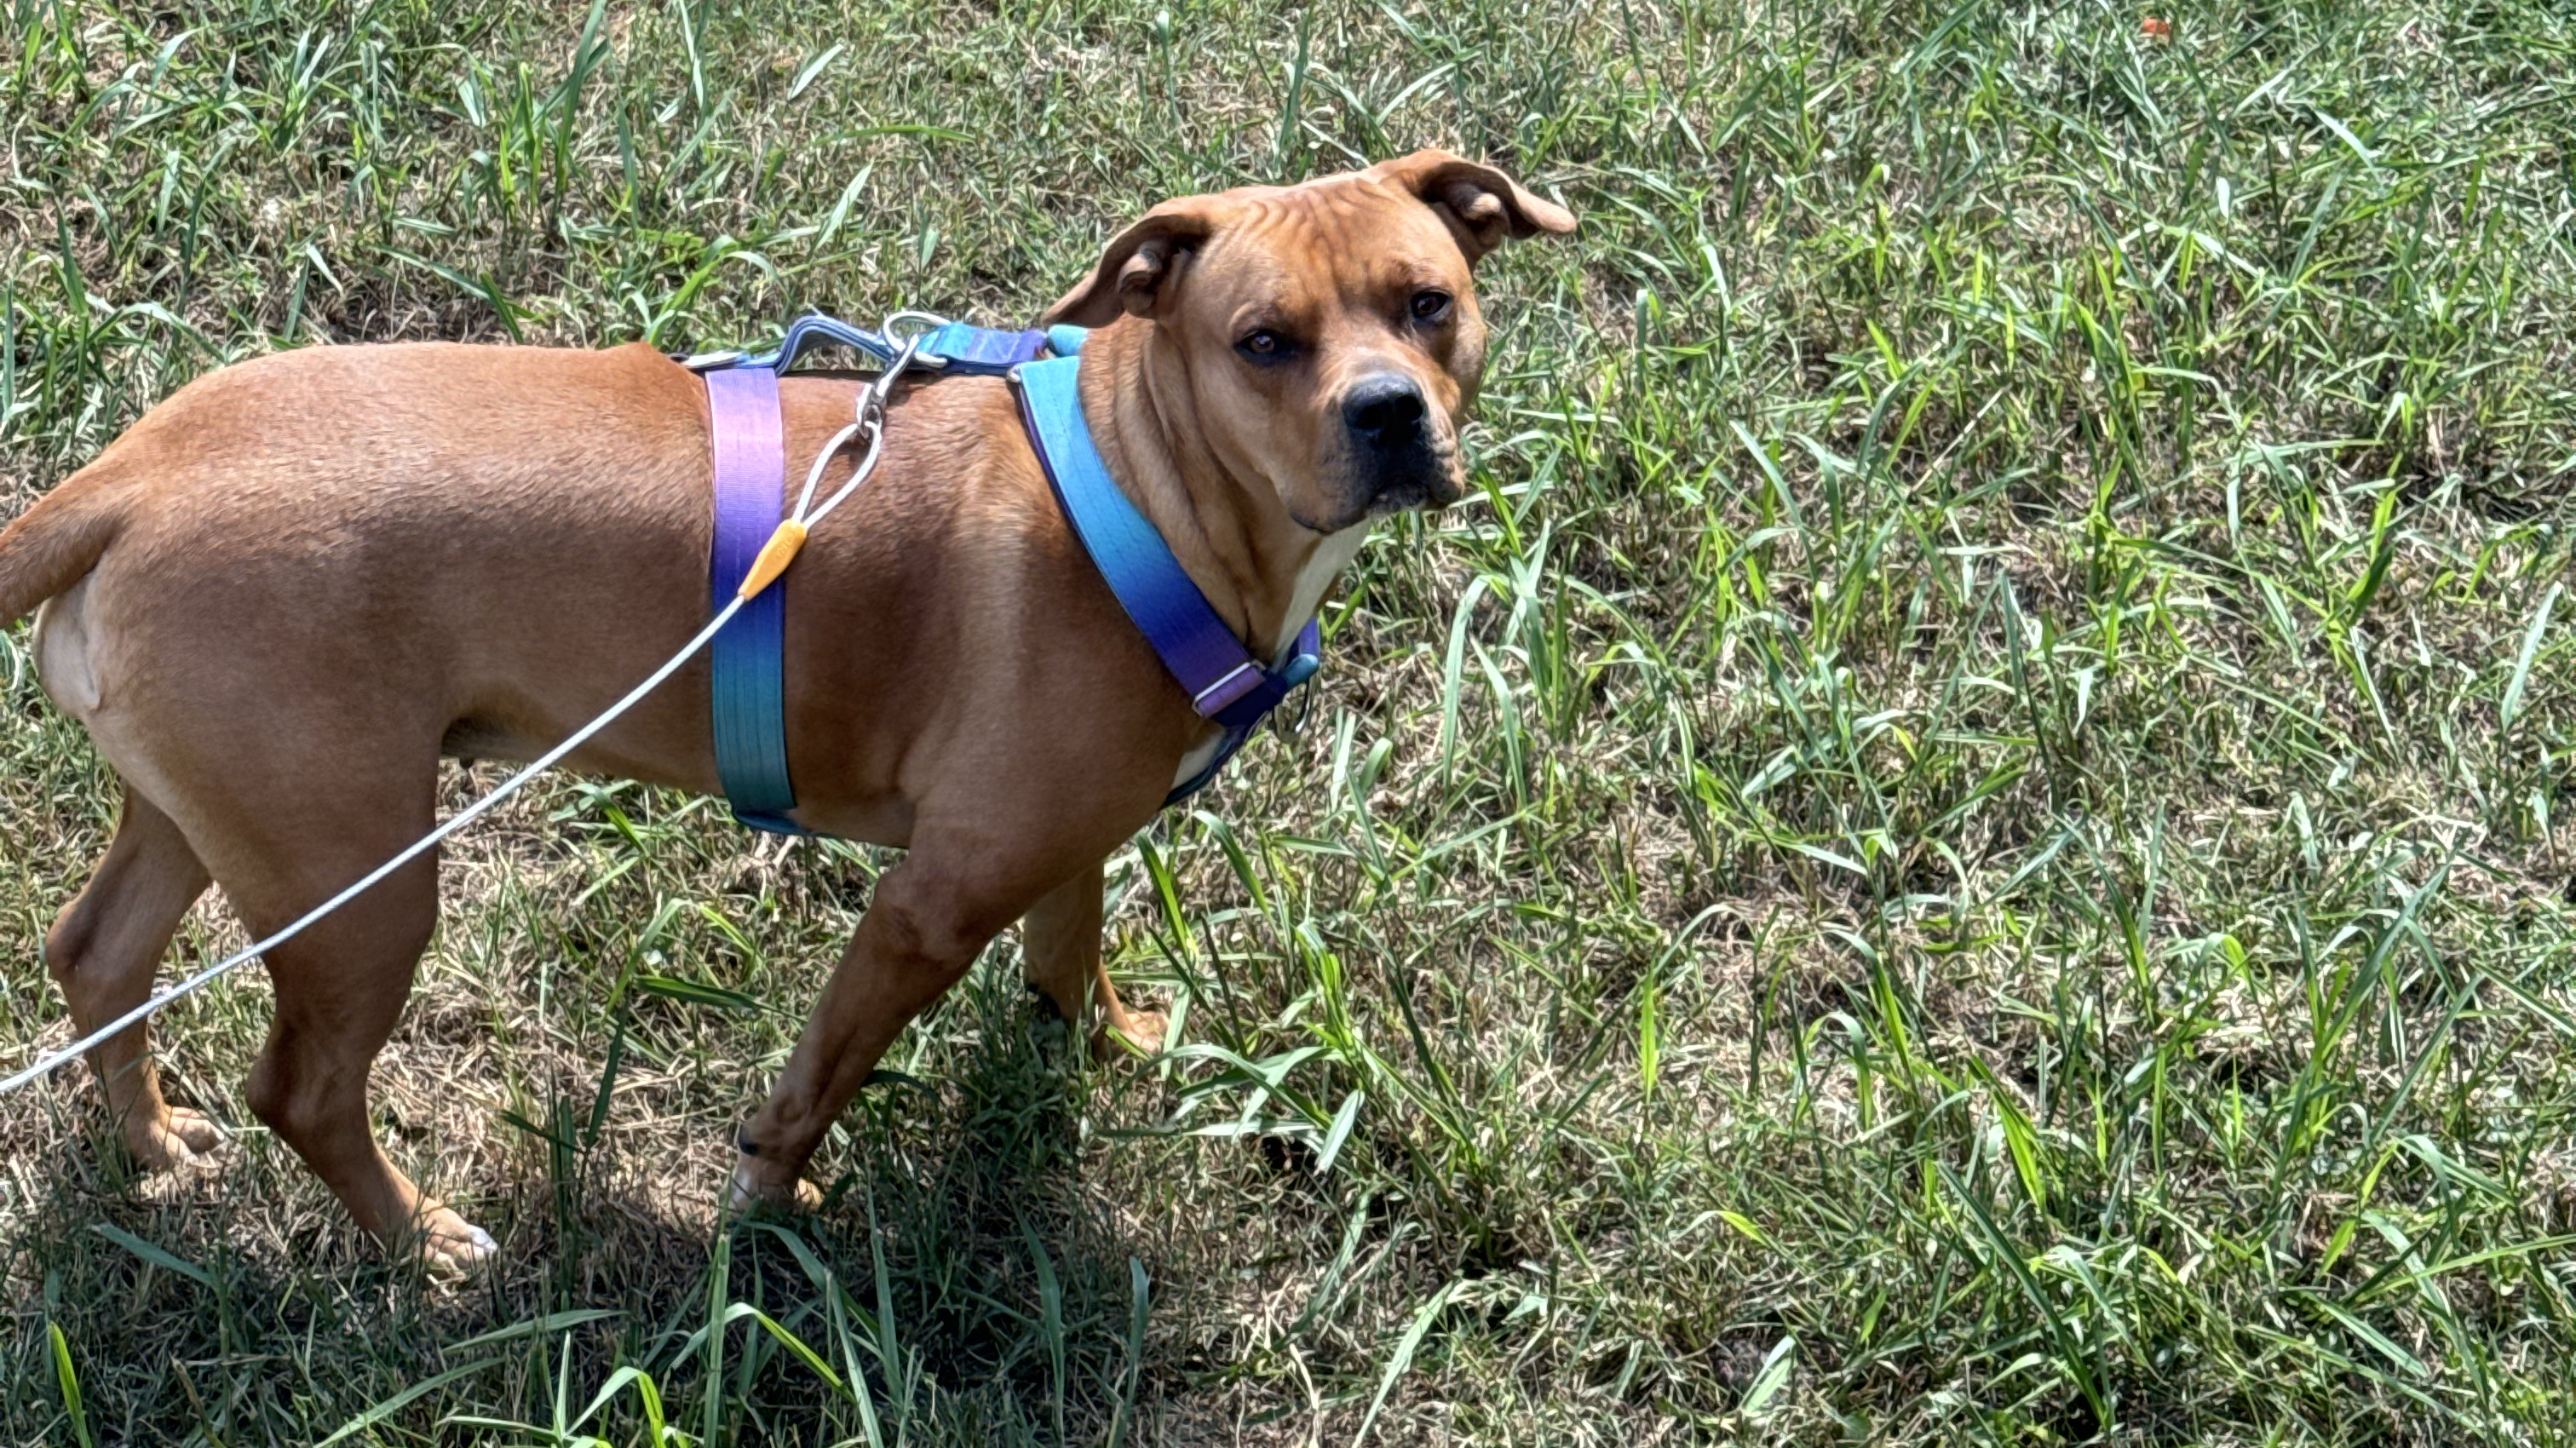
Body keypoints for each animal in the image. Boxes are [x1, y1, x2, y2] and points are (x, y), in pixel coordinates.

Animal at [0, 149, 1566, 1262]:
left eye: (1428, 302)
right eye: (1261, 341)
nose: (1388, 414)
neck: (1143, 487)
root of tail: (132, 474)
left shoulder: (1061, 839)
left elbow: (1070, 948)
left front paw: (1112, 1037)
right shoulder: (929, 902)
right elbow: (823, 1076)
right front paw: (768, 1206)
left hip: (207, 817)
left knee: (97, 959)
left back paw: (152, 1144)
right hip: (361, 885)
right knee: (306, 1092)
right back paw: (417, 1242)